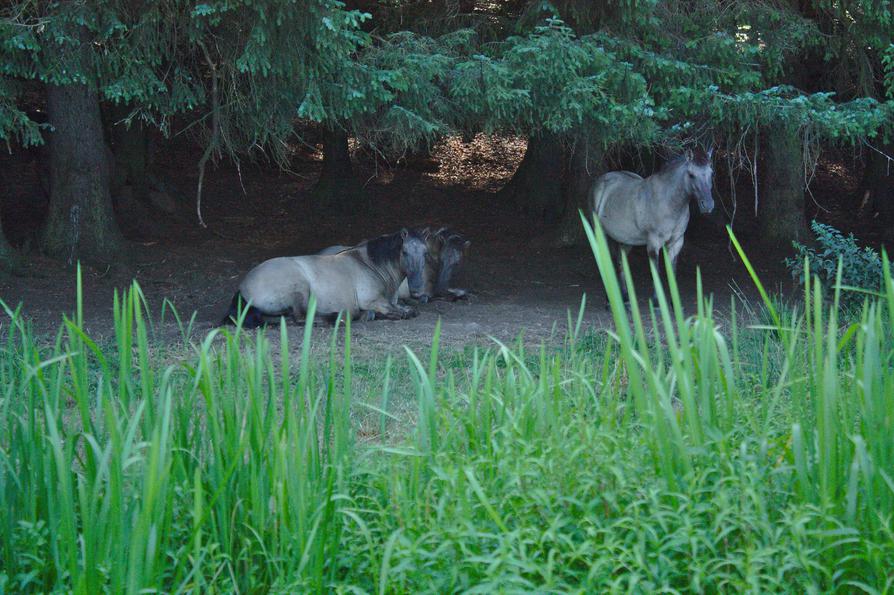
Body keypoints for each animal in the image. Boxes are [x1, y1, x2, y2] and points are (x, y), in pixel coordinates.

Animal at [222, 229, 428, 330]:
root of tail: (242, 288)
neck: (370, 265)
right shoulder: (372, 300)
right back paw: (339, 318)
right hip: (300, 288)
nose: (418, 290)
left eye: (426, 252)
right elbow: (400, 312)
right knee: (301, 317)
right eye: (404, 252)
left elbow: (406, 309)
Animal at [592, 145, 716, 302]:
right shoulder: (654, 243)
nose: (708, 205)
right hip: (601, 233)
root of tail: (603, 180)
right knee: (604, 262)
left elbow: (672, 272)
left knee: (620, 263)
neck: (668, 202)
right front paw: (657, 302)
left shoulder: (676, 242)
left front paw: (674, 302)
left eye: (711, 173)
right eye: (691, 175)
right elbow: (656, 272)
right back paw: (609, 301)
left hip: (626, 241)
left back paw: (625, 298)